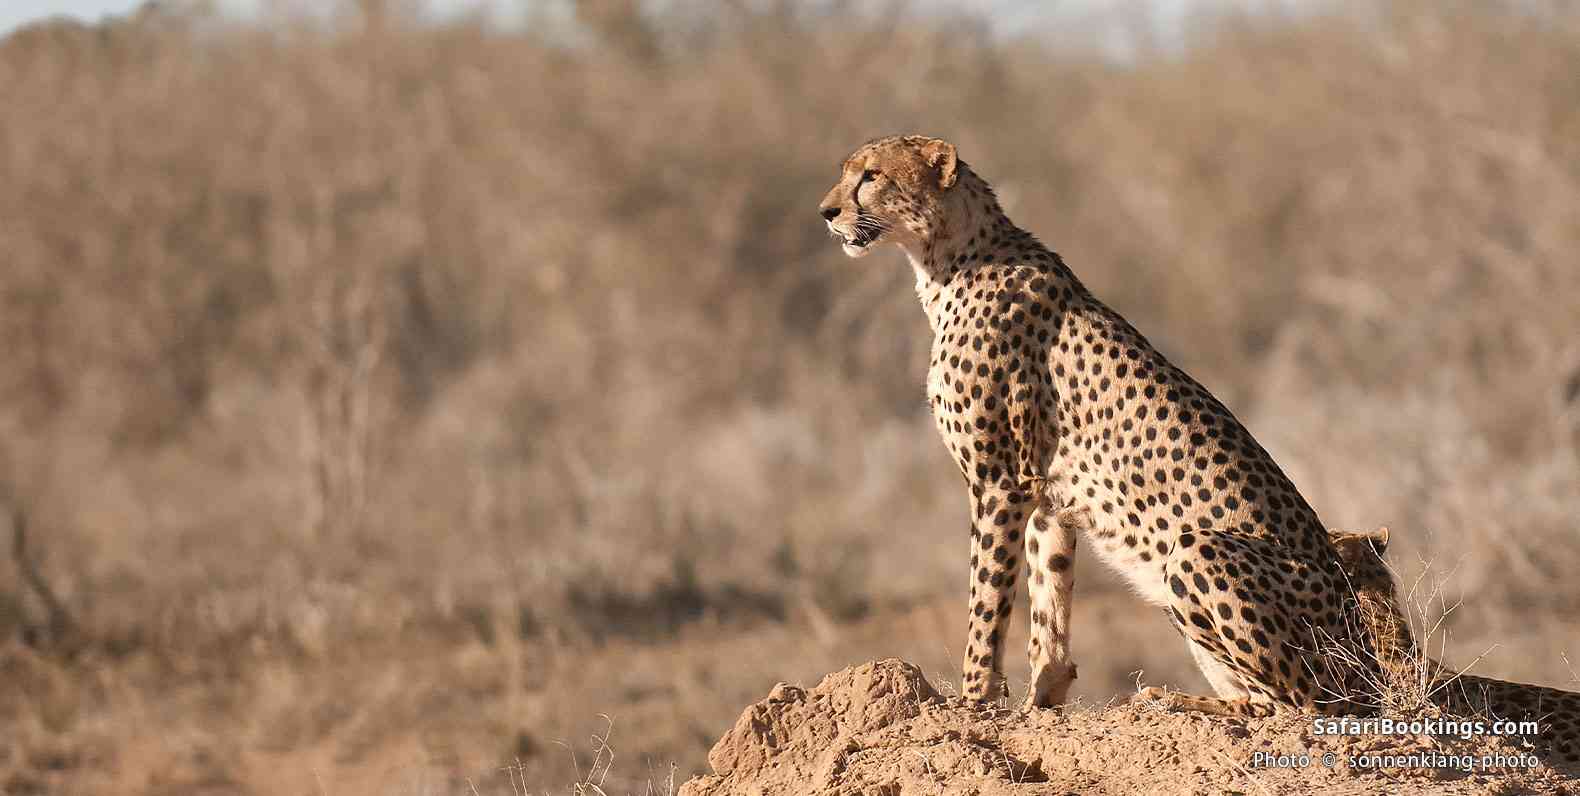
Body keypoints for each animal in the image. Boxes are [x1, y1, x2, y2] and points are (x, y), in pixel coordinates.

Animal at [821, 136, 1377, 713]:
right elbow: (1047, 606)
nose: (826, 212)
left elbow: (986, 599)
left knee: (1294, 705)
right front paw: (1039, 702)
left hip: (1197, 552)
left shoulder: (999, 483)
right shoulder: (1046, 498)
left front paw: (974, 702)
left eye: (871, 175)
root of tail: (1369, 659)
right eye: (848, 172)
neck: (950, 258)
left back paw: (1169, 699)